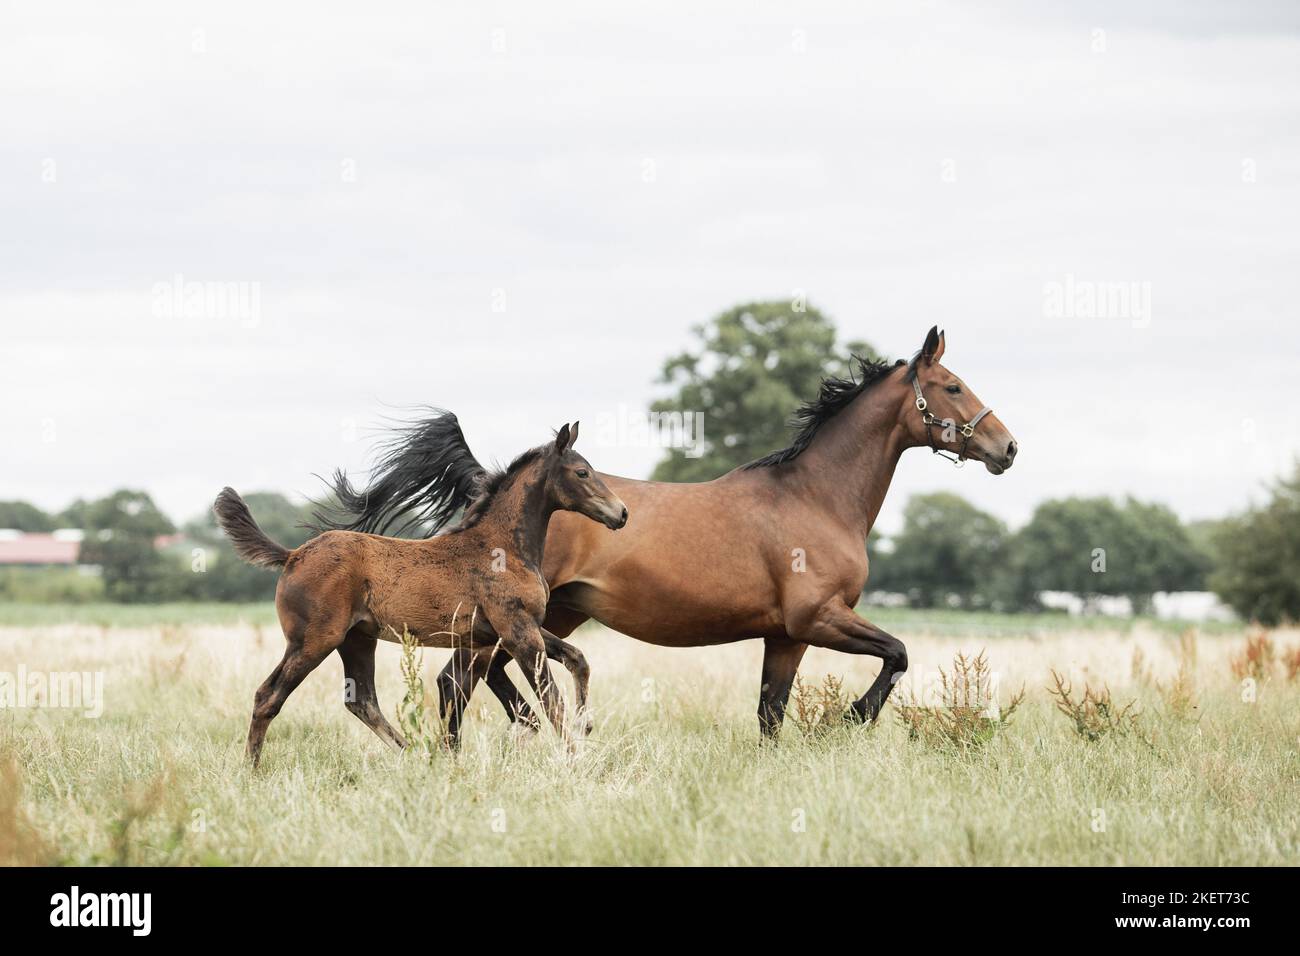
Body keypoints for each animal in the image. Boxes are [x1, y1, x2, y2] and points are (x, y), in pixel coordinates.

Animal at [215, 421, 626, 764]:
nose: (620, 513)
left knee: (362, 701)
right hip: (313, 641)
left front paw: (586, 724)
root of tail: (292, 555)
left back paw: (417, 755)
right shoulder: (518, 632)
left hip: (357, 640)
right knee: (268, 696)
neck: (503, 548)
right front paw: (576, 760)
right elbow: (551, 699)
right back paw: (251, 770)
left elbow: (578, 659)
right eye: (582, 472)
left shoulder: (521, 629)